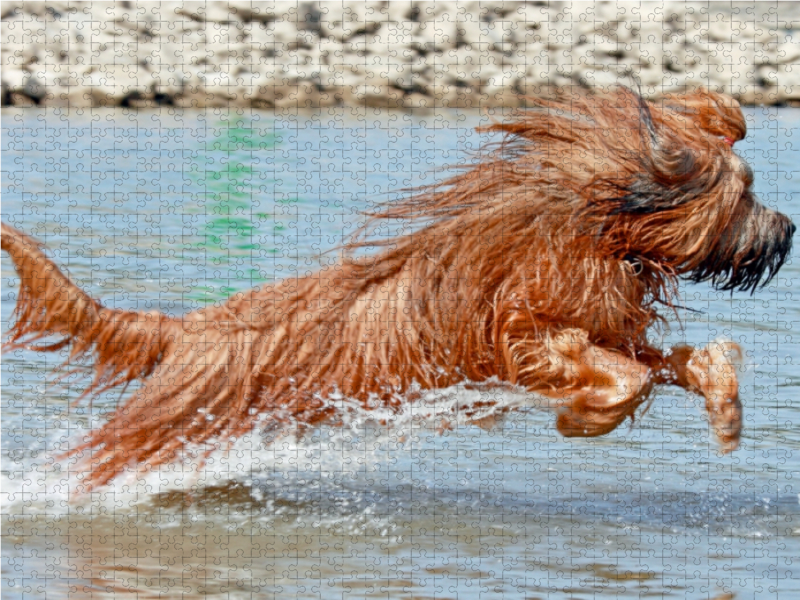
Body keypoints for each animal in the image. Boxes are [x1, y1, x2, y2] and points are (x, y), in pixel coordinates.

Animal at [3, 85, 792, 488]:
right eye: (745, 194)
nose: (786, 231)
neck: (593, 226)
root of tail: (185, 330)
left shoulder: (613, 324)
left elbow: (670, 364)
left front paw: (726, 413)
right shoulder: (522, 331)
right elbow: (614, 373)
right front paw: (583, 419)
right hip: (167, 426)